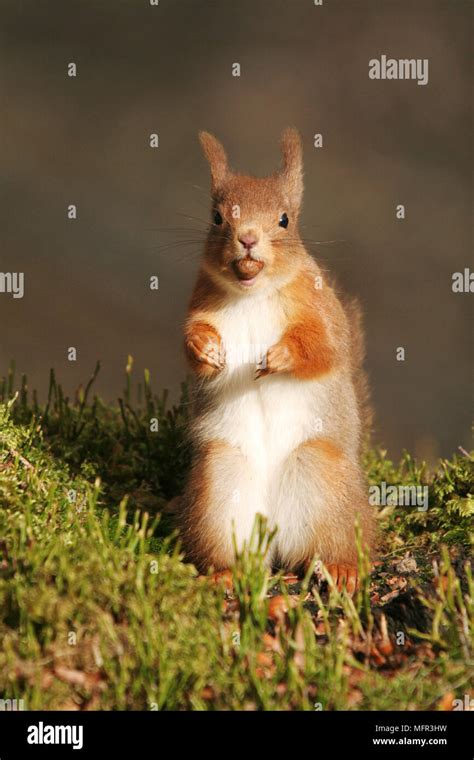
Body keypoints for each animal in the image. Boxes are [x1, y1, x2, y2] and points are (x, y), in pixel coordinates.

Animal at [177, 129, 374, 592]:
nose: (248, 238)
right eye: (217, 217)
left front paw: (280, 355)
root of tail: (277, 535)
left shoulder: (320, 308)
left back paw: (342, 569)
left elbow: (324, 346)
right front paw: (205, 349)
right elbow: (192, 345)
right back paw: (226, 574)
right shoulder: (201, 305)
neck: (253, 292)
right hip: (221, 484)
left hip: (323, 477)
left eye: (285, 220)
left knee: (335, 545)